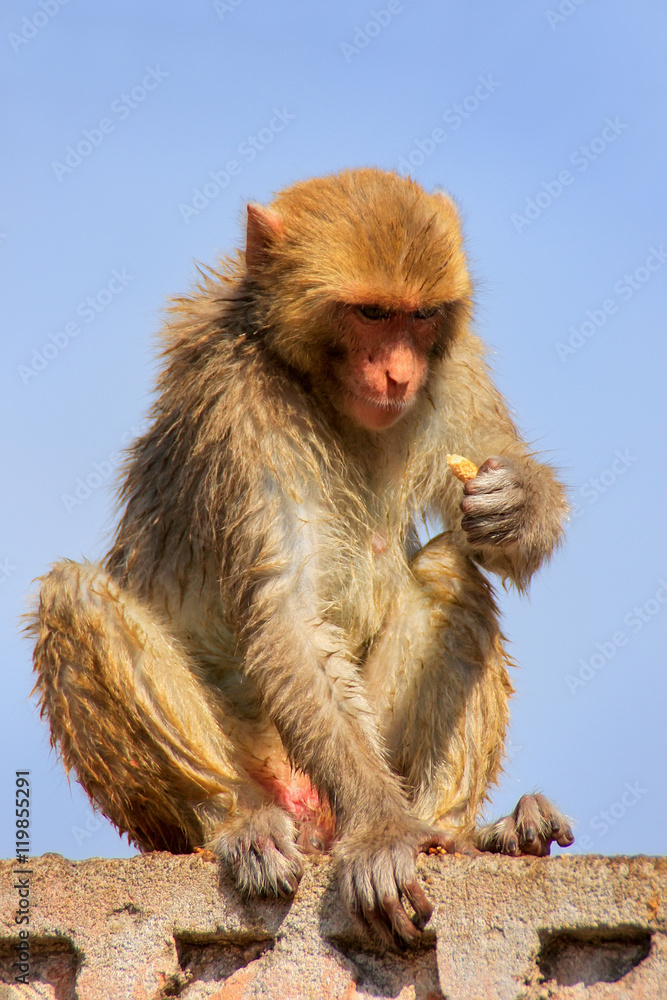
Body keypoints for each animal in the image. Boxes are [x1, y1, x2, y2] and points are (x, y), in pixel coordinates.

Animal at [29, 168, 574, 950]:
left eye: (419, 317)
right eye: (371, 314)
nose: (399, 372)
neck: (309, 375)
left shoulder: (455, 361)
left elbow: (501, 509)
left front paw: (517, 501)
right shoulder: (243, 404)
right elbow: (285, 614)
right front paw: (380, 830)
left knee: (451, 574)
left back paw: (457, 833)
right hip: (261, 768)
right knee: (71, 596)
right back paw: (237, 822)